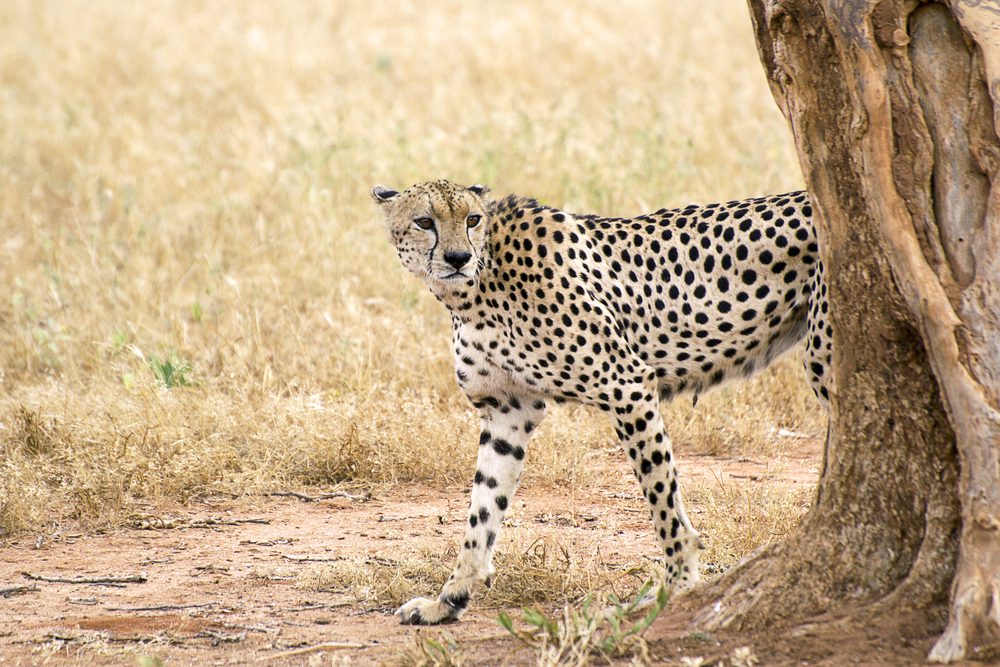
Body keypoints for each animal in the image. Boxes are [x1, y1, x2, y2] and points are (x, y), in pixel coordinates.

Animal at [371, 179, 831, 625]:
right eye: (424, 221)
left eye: (472, 219)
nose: (458, 257)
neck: (477, 285)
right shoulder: (508, 411)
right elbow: (483, 508)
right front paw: (448, 600)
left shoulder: (628, 386)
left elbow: (663, 503)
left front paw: (676, 587)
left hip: (821, 358)